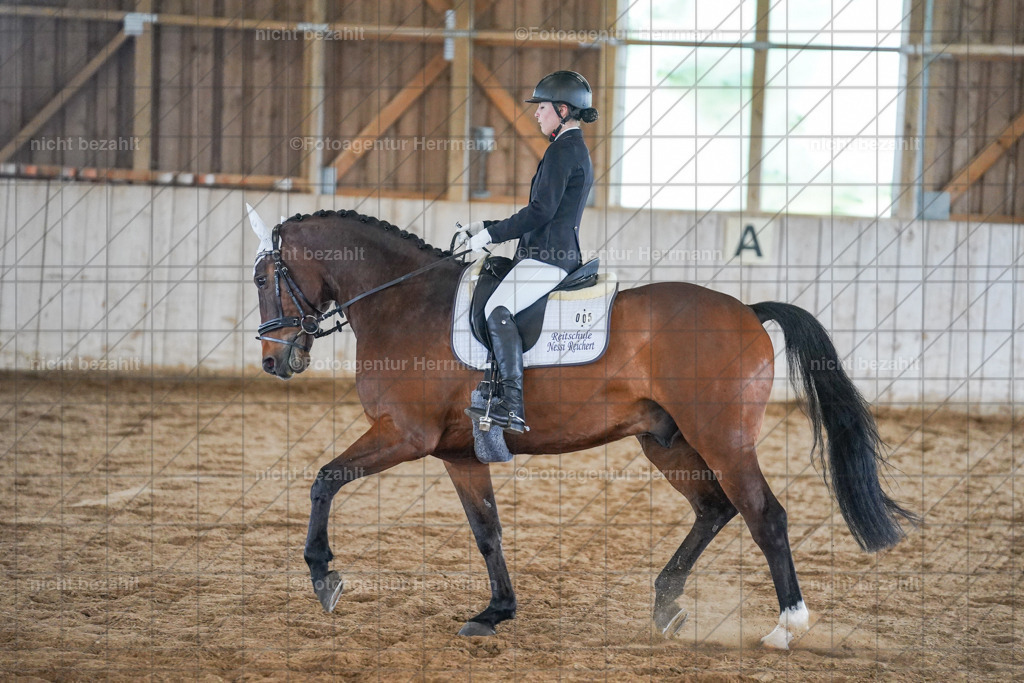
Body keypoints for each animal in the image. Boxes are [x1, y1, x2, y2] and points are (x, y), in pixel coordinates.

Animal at [248, 206, 916, 648]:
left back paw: (786, 626)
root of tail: (748, 312)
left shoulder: (404, 435)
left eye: (261, 279)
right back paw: (667, 605)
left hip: (722, 440)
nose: (274, 362)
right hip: (666, 443)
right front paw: (495, 611)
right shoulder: (459, 454)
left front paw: (324, 576)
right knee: (716, 509)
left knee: (764, 515)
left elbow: (324, 479)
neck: (405, 303)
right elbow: (487, 532)